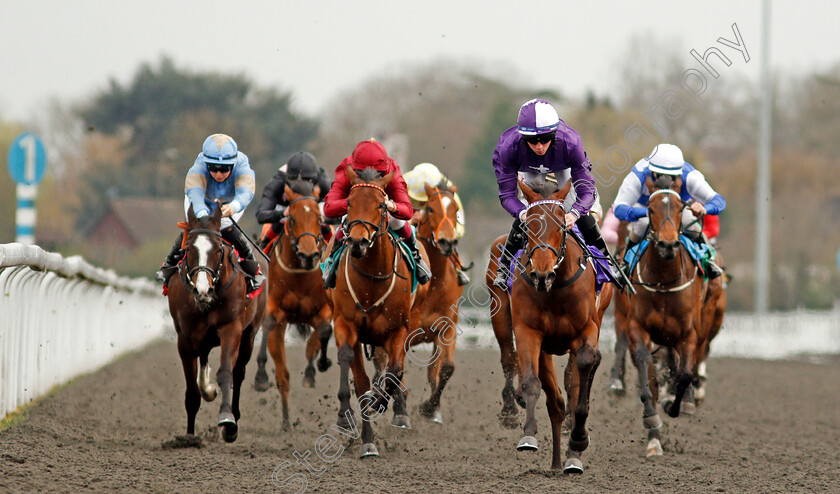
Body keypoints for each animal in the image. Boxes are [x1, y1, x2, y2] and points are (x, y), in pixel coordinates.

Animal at [167, 203, 266, 442]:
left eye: (219, 250)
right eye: (189, 249)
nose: (203, 290)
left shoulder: (231, 329)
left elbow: (226, 373)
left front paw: (228, 421)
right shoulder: (185, 338)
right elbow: (192, 392)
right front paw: (189, 437)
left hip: (249, 335)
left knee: (239, 373)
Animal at [249, 183, 332, 430]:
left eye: (319, 218)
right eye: (292, 219)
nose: (309, 254)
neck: (300, 274)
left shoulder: (324, 310)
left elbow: (322, 333)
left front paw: (315, 370)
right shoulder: (276, 312)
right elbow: (268, 324)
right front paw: (260, 377)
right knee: (282, 375)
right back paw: (286, 422)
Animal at [332, 168, 430, 458]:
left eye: (380, 205)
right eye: (349, 203)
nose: (358, 242)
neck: (372, 281)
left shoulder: (398, 329)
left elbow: (394, 372)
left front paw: (381, 402)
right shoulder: (346, 325)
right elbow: (358, 379)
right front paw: (366, 438)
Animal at [486, 181, 612, 474]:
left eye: (561, 226)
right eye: (528, 228)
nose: (542, 275)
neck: (555, 290)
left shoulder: (586, 331)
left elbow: (581, 377)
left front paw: (578, 439)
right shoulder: (529, 332)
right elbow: (533, 383)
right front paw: (529, 435)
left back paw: (571, 455)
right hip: (501, 314)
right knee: (512, 361)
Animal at [624, 176, 708, 458]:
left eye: (681, 208)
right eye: (650, 210)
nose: (668, 245)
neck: (662, 283)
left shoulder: (689, 334)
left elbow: (684, 376)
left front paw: (674, 406)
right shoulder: (637, 329)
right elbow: (647, 380)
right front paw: (652, 420)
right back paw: (654, 438)